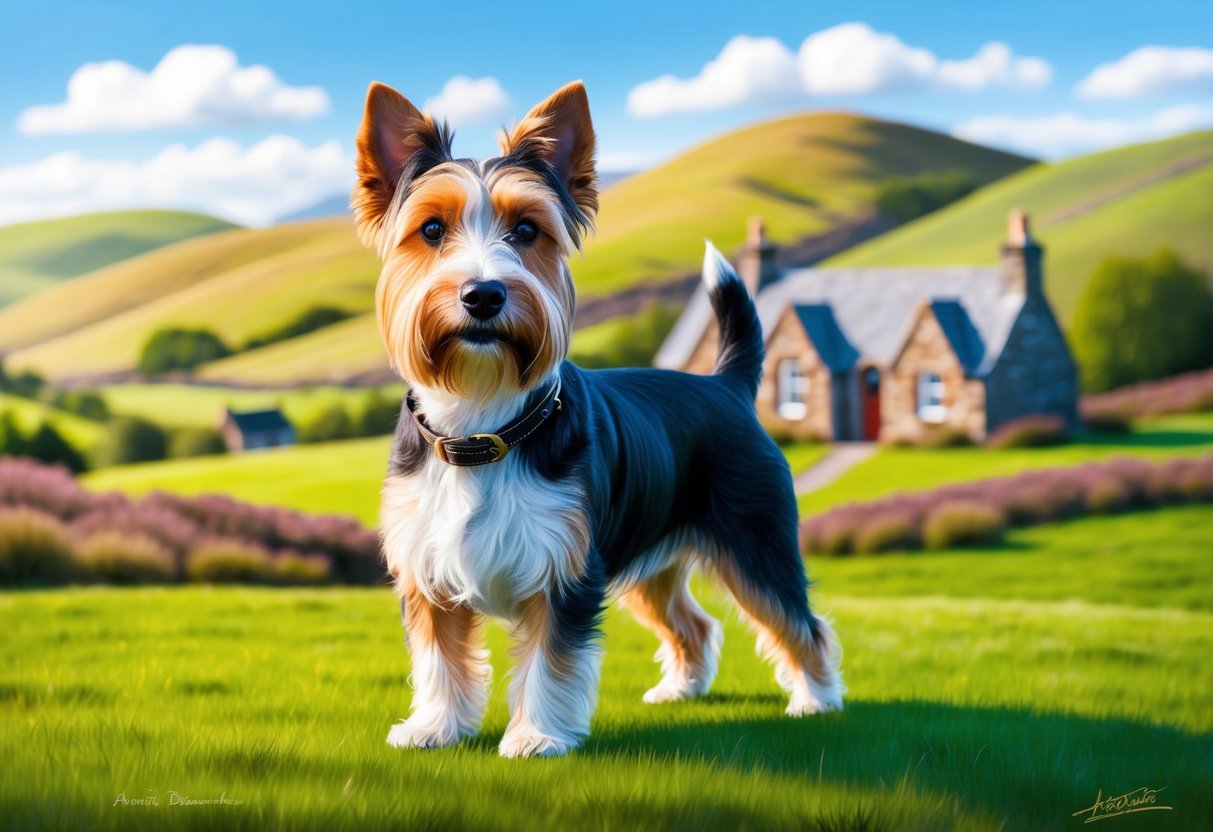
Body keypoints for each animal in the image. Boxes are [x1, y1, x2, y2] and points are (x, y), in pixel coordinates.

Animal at [351, 81, 844, 761]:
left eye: (526, 230)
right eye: (430, 229)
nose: (484, 294)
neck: (482, 426)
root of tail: (727, 385)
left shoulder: (567, 571)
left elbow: (550, 660)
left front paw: (535, 736)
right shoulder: (429, 569)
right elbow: (438, 658)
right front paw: (435, 727)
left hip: (755, 540)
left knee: (796, 618)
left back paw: (816, 699)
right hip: (651, 555)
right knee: (694, 622)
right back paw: (683, 689)